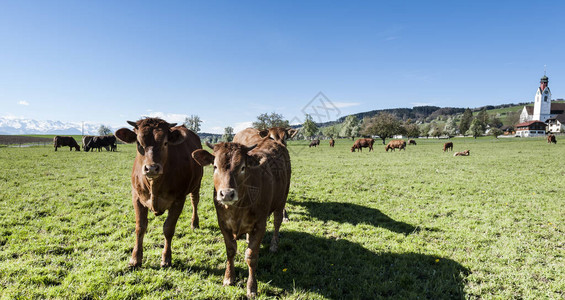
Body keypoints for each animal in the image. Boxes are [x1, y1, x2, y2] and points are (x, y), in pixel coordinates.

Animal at [113, 118, 204, 268]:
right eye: (138, 143)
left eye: (165, 143)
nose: (151, 168)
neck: (154, 185)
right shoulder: (136, 197)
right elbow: (140, 227)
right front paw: (135, 258)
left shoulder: (178, 200)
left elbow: (168, 228)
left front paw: (166, 258)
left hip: (197, 184)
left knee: (195, 201)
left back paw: (194, 223)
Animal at [193, 139, 290, 298]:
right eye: (215, 166)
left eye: (243, 167)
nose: (227, 194)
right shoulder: (223, 224)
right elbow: (230, 250)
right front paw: (228, 277)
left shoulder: (260, 225)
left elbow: (251, 256)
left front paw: (252, 287)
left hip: (281, 200)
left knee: (277, 222)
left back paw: (274, 245)